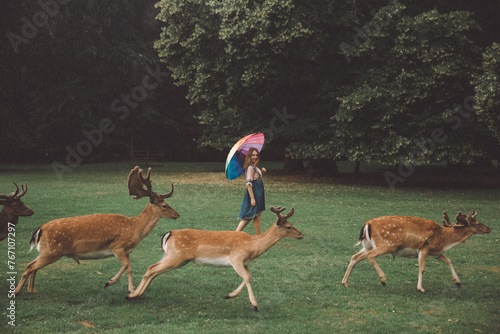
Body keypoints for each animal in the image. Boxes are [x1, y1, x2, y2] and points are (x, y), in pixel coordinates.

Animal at [14, 166, 180, 294]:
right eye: (164, 205)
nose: (177, 214)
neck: (134, 229)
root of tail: (40, 229)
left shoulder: (126, 251)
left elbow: (128, 267)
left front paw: (126, 288)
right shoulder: (117, 246)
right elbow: (127, 266)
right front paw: (114, 284)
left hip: (46, 251)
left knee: (32, 266)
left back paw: (32, 290)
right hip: (51, 251)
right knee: (29, 266)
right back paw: (16, 291)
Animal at [126, 207, 304, 312]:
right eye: (288, 226)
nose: (301, 234)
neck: (253, 246)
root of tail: (169, 233)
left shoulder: (244, 262)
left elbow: (249, 276)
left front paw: (230, 295)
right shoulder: (236, 257)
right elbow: (246, 277)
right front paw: (254, 305)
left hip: (176, 258)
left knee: (154, 270)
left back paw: (136, 294)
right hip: (176, 256)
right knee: (151, 268)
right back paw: (133, 295)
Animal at [342, 211, 490, 292]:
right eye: (477, 223)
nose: (489, 228)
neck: (444, 239)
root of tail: (366, 224)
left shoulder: (435, 252)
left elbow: (448, 260)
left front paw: (457, 282)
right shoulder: (424, 248)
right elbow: (422, 268)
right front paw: (420, 288)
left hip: (368, 245)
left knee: (354, 256)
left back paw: (345, 282)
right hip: (387, 245)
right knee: (369, 256)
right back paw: (383, 279)